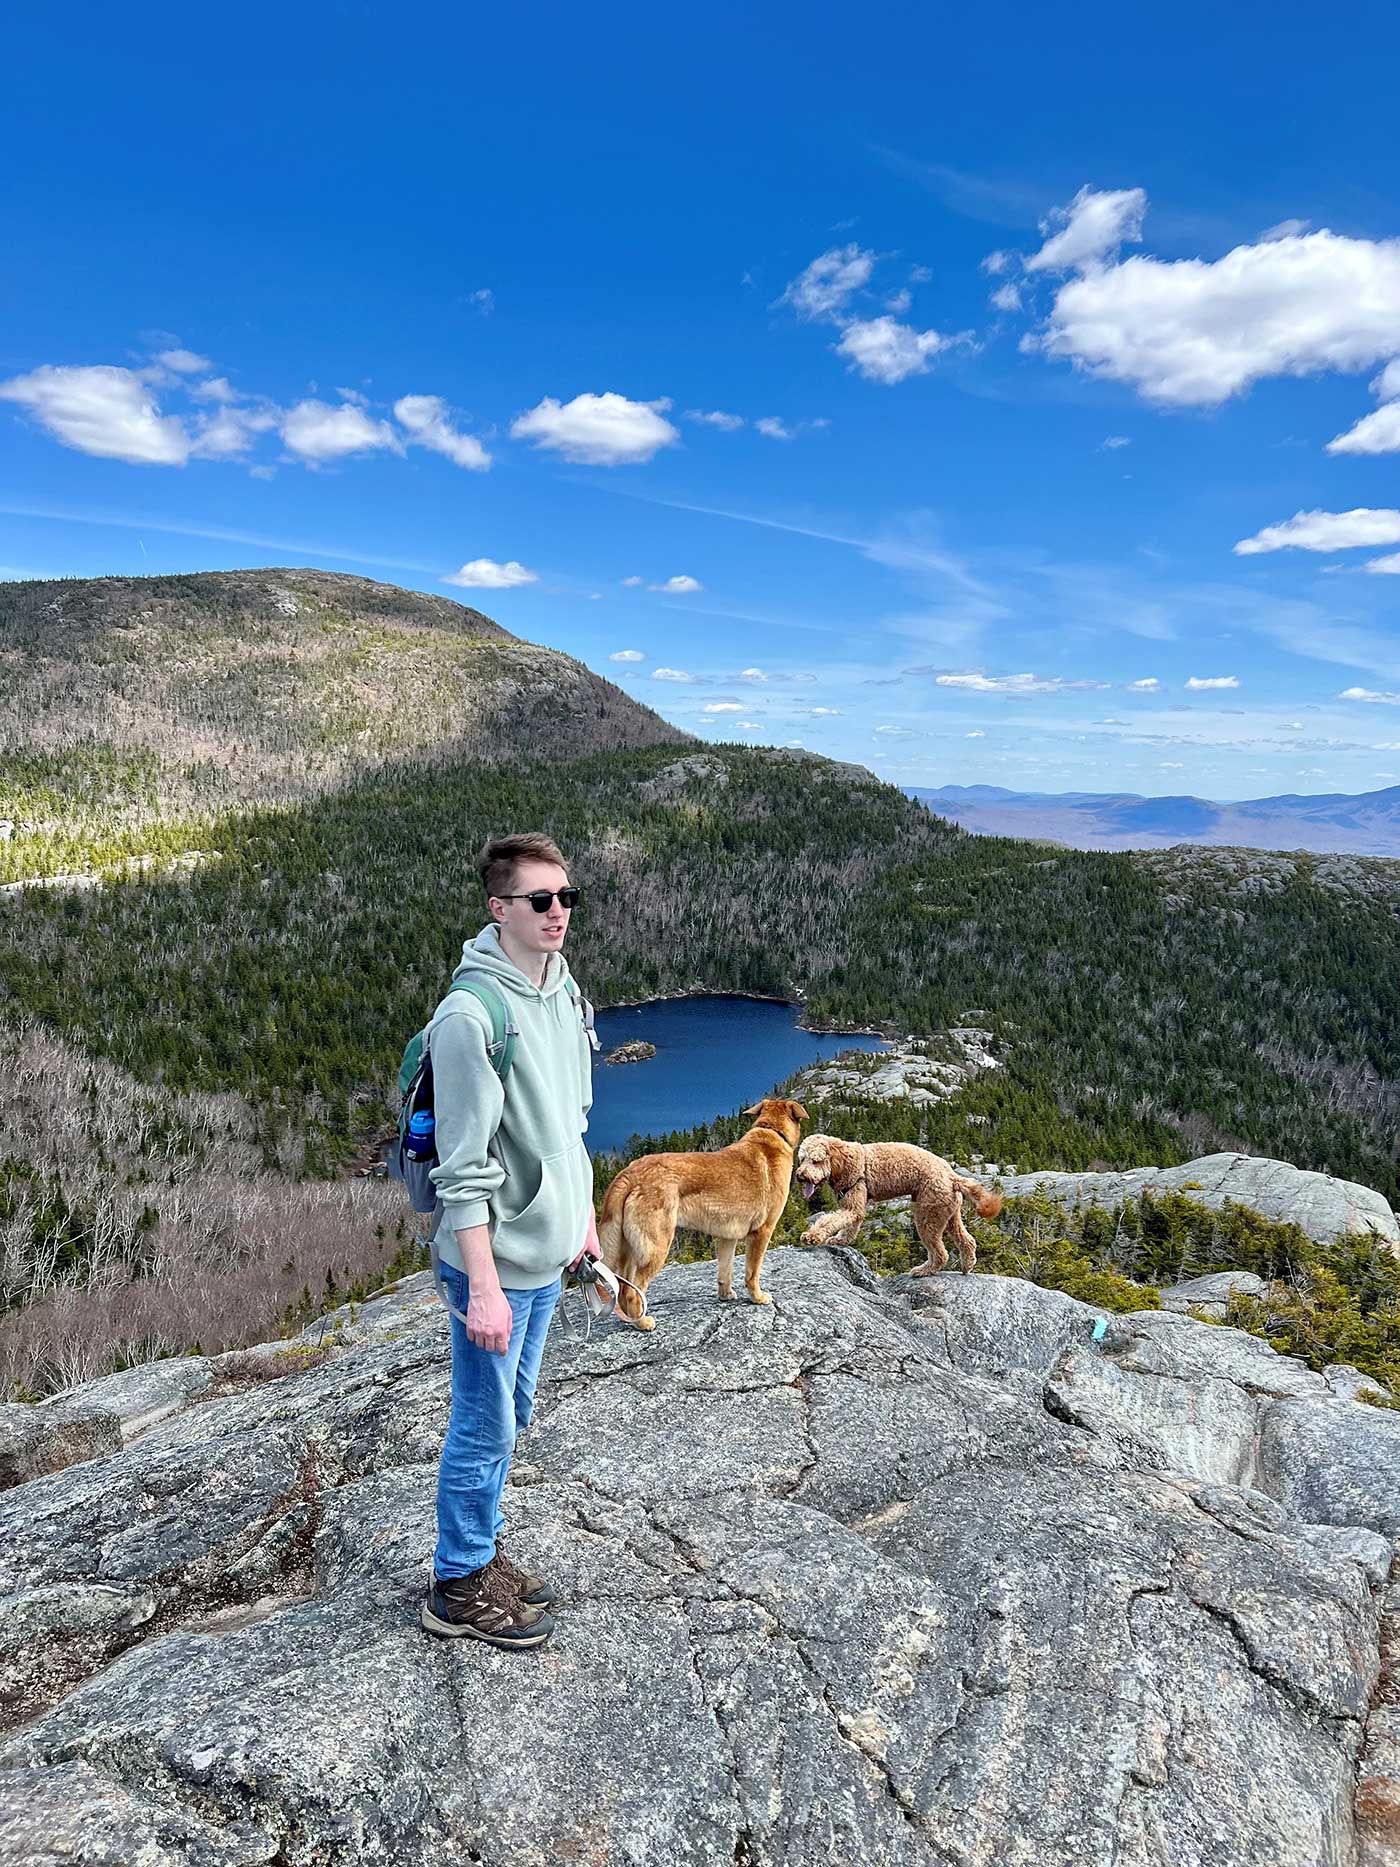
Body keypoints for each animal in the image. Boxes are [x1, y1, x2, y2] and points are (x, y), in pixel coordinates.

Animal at [601, 1090, 810, 1329]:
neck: (772, 1131)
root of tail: (630, 1173)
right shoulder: (762, 1232)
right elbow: (752, 1272)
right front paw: (757, 1297)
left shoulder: (728, 1237)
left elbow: (725, 1271)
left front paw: (725, 1295)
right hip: (656, 1247)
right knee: (633, 1291)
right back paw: (642, 1322)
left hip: (628, 1249)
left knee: (623, 1287)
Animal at [795, 1127, 1000, 1277]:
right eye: (802, 1159)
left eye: (815, 1161)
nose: (800, 1176)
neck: (844, 1160)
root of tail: (952, 1176)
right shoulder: (853, 1205)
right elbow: (848, 1226)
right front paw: (839, 1240)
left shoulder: (853, 1201)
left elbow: (830, 1220)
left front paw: (812, 1236)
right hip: (949, 1214)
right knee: (967, 1240)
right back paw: (967, 1266)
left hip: (927, 1215)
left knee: (941, 1253)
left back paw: (924, 1271)